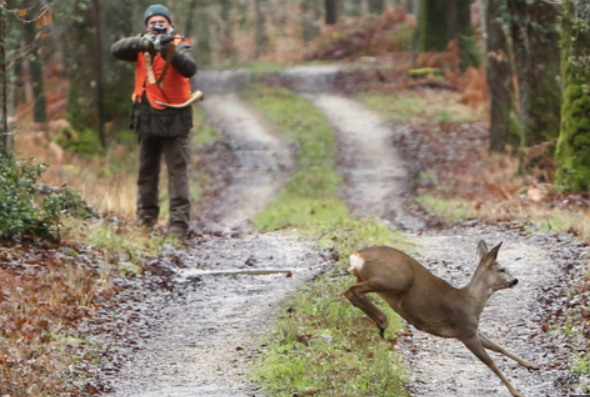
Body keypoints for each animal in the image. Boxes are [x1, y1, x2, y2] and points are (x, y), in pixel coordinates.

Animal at [346, 240, 540, 394]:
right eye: (502, 269)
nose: (515, 280)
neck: (471, 303)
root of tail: (356, 255)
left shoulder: (472, 330)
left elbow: (499, 347)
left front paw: (531, 365)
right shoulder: (465, 331)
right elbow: (490, 362)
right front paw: (516, 392)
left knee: (351, 290)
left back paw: (380, 322)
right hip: (394, 279)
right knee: (350, 290)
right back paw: (382, 320)